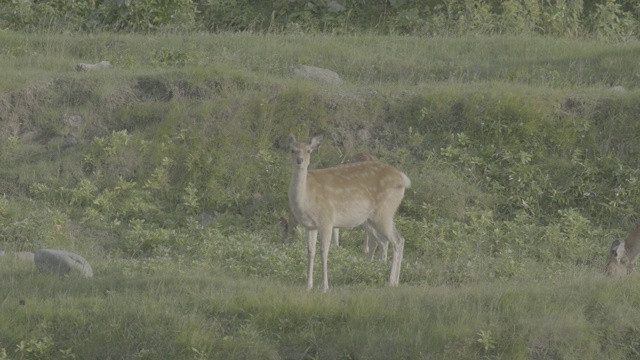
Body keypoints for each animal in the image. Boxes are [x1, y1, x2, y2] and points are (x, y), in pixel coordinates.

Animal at [288, 134, 410, 292]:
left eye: (309, 150)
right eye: (292, 150)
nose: (299, 160)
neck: (307, 197)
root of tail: (403, 179)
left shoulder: (326, 220)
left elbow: (324, 251)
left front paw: (324, 287)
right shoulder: (309, 226)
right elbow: (310, 251)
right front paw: (308, 286)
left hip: (384, 212)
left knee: (397, 240)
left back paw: (391, 281)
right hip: (375, 217)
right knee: (390, 240)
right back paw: (394, 280)